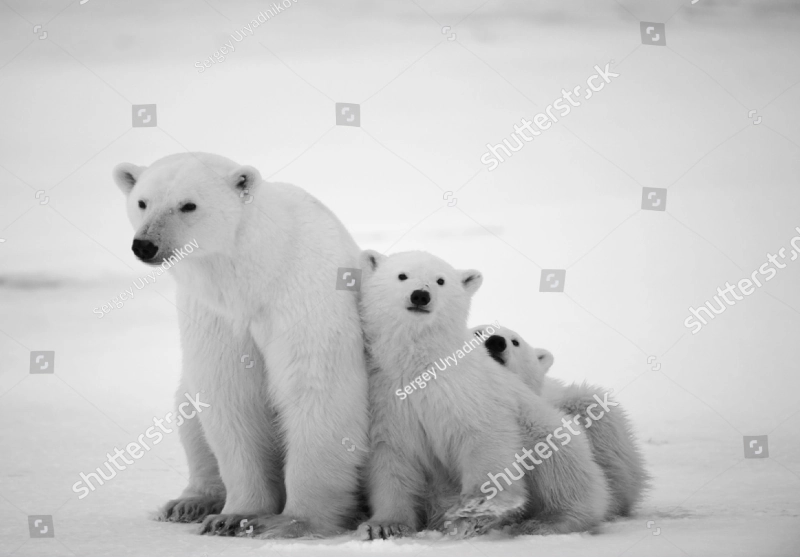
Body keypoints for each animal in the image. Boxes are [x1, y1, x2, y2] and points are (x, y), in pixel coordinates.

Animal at [112, 152, 369, 538]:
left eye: (188, 205)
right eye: (142, 202)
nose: (145, 244)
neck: (255, 275)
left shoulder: (304, 297)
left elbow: (317, 390)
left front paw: (293, 522)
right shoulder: (214, 314)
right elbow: (230, 395)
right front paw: (234, 516)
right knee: (189, 416)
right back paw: (190, 502)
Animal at [356, 250, 611, 540]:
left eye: (441, 280)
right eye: (402, 275)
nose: (420, 295)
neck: (420, 364)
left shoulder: (467, 388)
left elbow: (484, 436)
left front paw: (475, 509)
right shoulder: (387, 397)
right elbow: (391, 458)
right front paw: (383, 526)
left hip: (542, 426)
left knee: (559, 467)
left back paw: (546, 521)